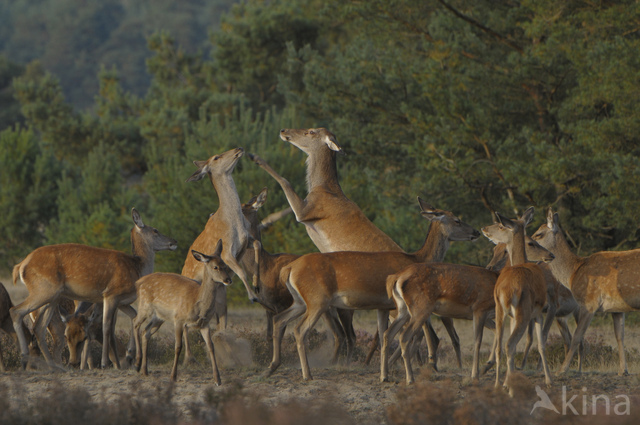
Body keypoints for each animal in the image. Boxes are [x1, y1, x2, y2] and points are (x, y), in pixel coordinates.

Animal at [11, 208, 178, 368]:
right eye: (155, 230)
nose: (174, 242)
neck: (136, 270)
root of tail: (21, 265)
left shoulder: (122, 301)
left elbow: (133, 317)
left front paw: (129, 354)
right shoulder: (111, 294)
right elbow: (106, 326)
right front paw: (105, 363)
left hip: (52, 297)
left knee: (39, 327)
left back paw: (53, 366)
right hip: (44, 290)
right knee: (16, 311)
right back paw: (25, 358)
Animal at [181, 146, 262, 328]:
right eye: (216, 157)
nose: (239, 148)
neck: (234, 221)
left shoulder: (246, 240)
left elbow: (258, 245)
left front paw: (257, 284)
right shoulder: (226, 250)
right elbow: (240, 271)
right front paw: (253, 297)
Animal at [262, 199, 478, 380]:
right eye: (457, 220)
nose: (476, 232)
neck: (417, 258)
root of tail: (289, 268)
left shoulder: (382, 306)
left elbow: (383, 337)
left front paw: (385, 371)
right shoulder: (397, 306)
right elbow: (410, 337)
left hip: (300, 301)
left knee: (279, 319)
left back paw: (272, 366)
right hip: (317, 300)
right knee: (299, 329)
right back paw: (307, 374)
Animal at [482, 207, 552, 390]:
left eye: (501, 225)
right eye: (532, 242)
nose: (484, 228)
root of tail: (507, 290)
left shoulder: (512, 316)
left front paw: (507, 379)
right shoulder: (538, 312)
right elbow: (541, 345)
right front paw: (549, 380)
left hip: (500, 312)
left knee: (501, 346)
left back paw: (498, 384)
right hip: (524, 313)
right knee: (510, 343)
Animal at [528, 207, 640, 376]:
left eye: (539, 234)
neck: (573, 272)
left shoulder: (589, 301)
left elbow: (577, 336)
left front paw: (561, 370)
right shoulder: (617, 308)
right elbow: (619, 336)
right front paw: (623, 370)